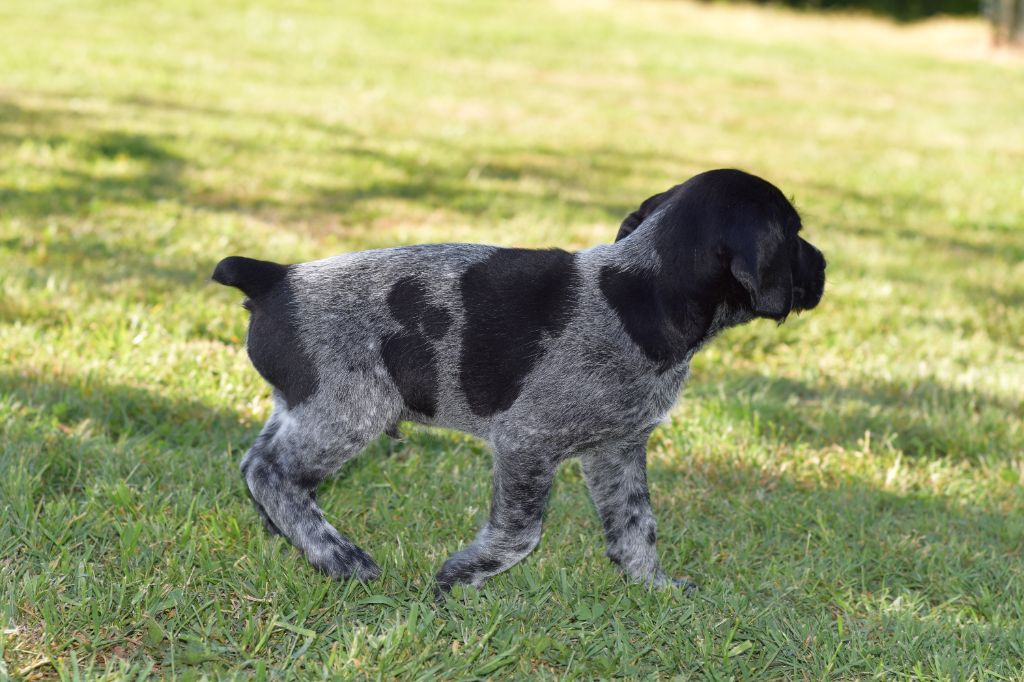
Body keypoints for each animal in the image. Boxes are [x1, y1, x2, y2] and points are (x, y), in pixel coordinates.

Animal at [212, 168, 826, 592]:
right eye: (794, 233)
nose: (825, 266)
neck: (644, 291)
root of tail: (275, 277)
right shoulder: (527, 444)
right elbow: (521, 533)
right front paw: (460, 577)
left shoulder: (617, 450)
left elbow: (636, 526)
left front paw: (652, 587)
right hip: (350, 411)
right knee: (272, 473)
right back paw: (337, 555)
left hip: (305, 408)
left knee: (257, 465)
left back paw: (291, 539)